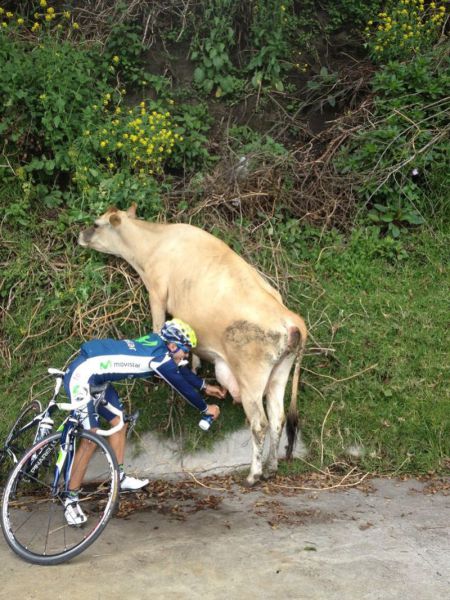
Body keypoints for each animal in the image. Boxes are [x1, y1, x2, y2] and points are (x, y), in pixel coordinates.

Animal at [79, 204, 308, 486]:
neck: (155, 242)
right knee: (277, 419)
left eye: (96, 224)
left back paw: (254, 474)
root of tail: (291, 319)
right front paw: (195, 366)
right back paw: (271, 467)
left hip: (251, 379)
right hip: (279, 374)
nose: (80, 234)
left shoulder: (157, 292)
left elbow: (157, 325)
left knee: (260, 423)